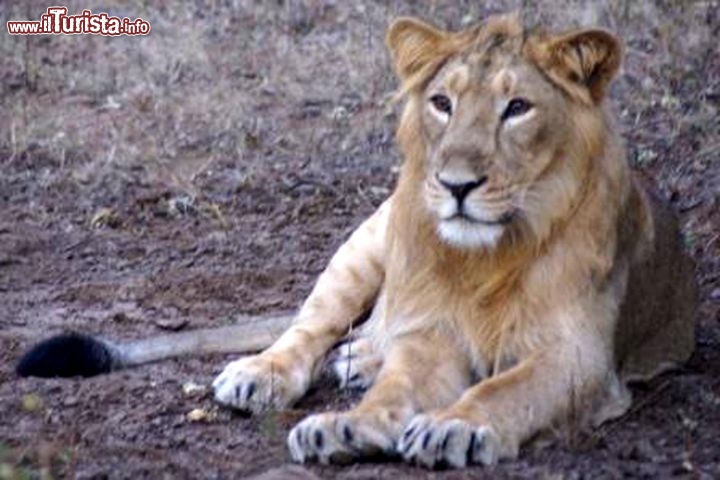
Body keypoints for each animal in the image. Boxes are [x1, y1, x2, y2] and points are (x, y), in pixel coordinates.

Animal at [16, 13, 696, 470]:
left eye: (517, 108)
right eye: (442, 103)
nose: (456, 185)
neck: (490, 255)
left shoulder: (578, 356)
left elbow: (505, 389)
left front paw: (455, 429)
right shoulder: (433, 334)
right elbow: (395, 388)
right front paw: (346, 428)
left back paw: (356, 360)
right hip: (367, 241)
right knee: (314, 327)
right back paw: (267, 374)